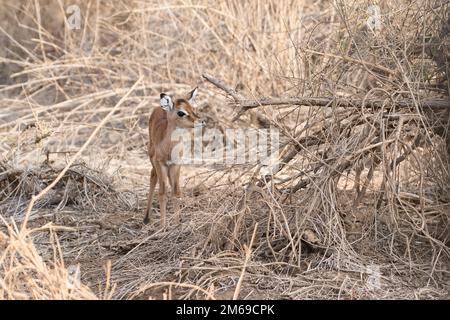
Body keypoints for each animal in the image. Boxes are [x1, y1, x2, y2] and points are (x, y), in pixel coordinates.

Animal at [143, 88, 205, 228]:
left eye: (192, 108)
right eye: (181, 112)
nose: (201, 121)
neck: (168, 148)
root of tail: (159, 108)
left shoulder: (176, 165)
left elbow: (176, 192)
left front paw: (176, 224)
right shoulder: (160, 164)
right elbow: (162, 193)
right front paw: (163, 226)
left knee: (172, 186)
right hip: (153, 160)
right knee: (153, 177)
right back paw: (146, 218)